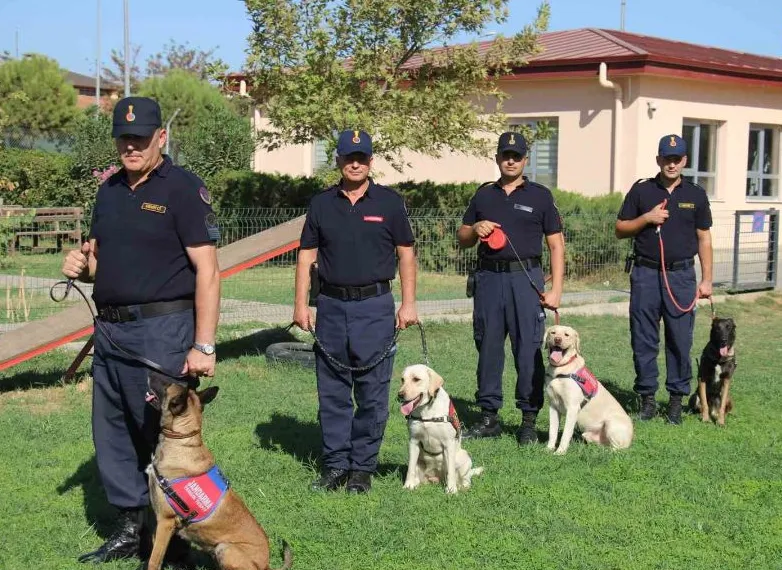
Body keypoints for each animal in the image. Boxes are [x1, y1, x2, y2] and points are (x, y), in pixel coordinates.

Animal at [145, 370, 294, 568]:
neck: (181, 440)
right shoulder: (159, 524)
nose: (149, 372)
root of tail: (266, 566)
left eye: (166, 385)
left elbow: (154, 560)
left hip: (225, 548)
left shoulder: (165, 522)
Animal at [544, 326, 636, 454]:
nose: (557, 339)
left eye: (566, 335)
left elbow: (566, 434)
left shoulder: (572, 408)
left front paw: (560, 452)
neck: (560, 370)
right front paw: (549, 449)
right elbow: (552, 431)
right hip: (587, 435)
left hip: (611, 423)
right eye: (553, 333)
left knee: (618, 449)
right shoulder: (553, 406)